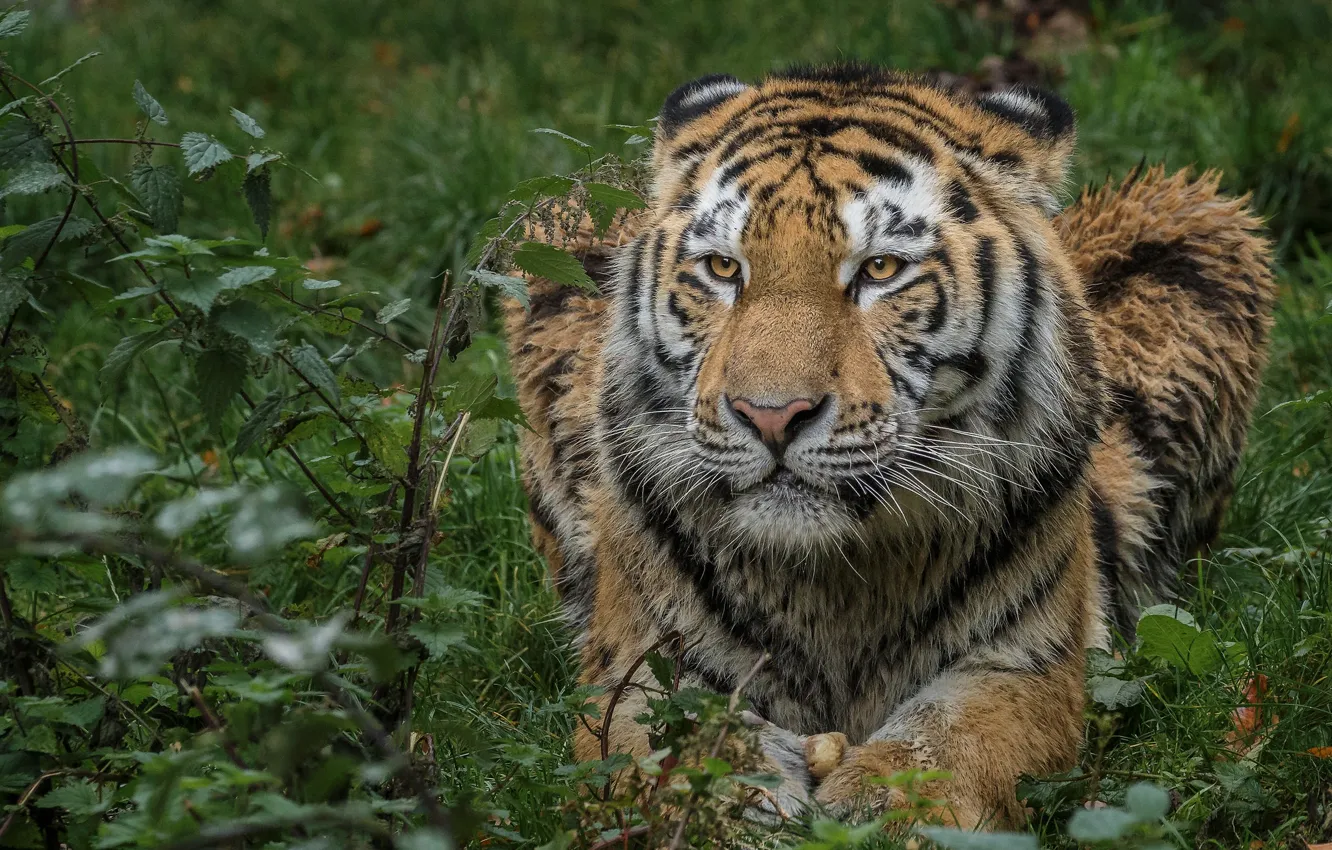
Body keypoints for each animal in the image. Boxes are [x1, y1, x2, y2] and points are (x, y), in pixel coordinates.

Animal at [504, 63, 1274, 828]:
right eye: (723, 269)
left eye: (879, 270)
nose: (771, 416)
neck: (827, 585)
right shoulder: (636, 667)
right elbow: (672, 751)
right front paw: (730, 810)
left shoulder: (1026, 663)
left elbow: (948, 745)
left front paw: (884, 808)